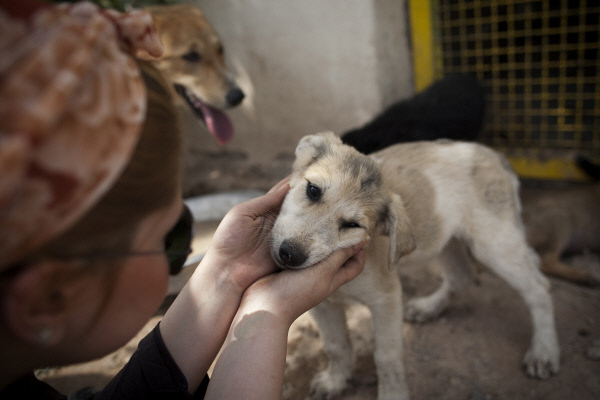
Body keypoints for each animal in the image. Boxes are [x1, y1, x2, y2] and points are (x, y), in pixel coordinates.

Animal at [270, 134, 560, 400]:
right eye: (313, 190)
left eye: (352, 225)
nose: (290, 254)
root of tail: (495, 156)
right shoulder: (323, 303)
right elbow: (335, 345)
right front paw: (335, 381)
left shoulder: (386, 297)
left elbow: (387, 356)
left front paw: (392, 395)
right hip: (446, 240)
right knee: (462, 276)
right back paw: (428, 307)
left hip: (494, 243)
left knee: (539, 287)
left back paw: (544, 351)